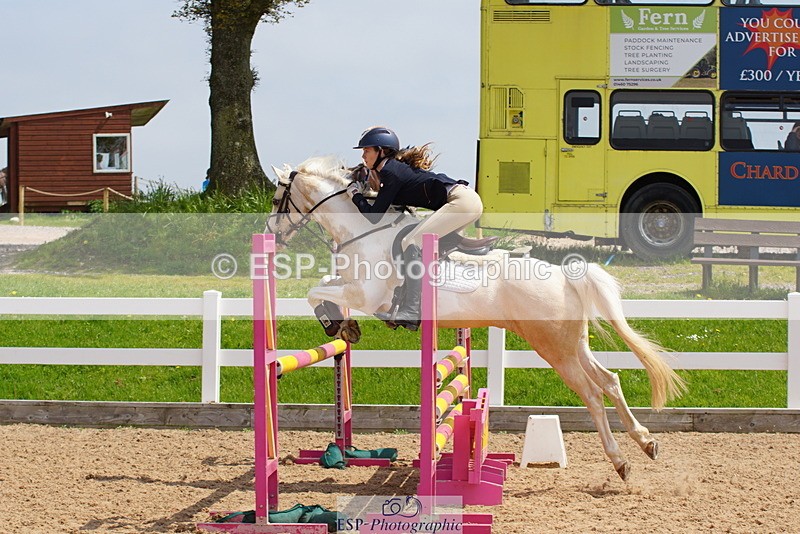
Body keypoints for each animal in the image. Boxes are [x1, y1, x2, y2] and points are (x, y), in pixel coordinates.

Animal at [266, 155, 686, 480]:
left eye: (276, 199)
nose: (273, 234)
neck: (363, 233)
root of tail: (566, 274)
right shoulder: (352, 287)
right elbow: (323, 285)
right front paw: (344, 326)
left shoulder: (365, 295)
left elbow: (315, 291)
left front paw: (338, 324)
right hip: (572, 344)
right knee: (610, 381)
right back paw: (646, 442)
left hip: (555, 350)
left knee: (593, 395)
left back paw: (621, 463)